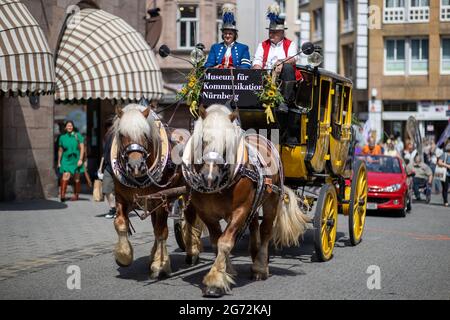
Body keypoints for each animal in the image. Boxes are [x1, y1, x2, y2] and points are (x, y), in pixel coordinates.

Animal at [110, 104, 201, 278]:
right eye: (122, 134)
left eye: (145, 134)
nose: (136, 166)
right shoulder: (121, 196)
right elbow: (120, 223)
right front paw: (124, 255)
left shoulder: (162, 198)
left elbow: (161, 231)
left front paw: (160, 265)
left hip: (187, 194)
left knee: (190, 219)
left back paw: (192, 252)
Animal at [181, 105, 312, 298]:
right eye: (203, 140)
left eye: (227, 145)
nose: (209, 177)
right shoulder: (206, 213)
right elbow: (216, 241)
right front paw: (226, 270)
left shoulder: (240, 210)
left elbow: (225, 242)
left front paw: (215, 281)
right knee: (254, 226)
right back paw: (254, 254)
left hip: (272, 200)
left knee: (265, 230)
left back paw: (260, 267)